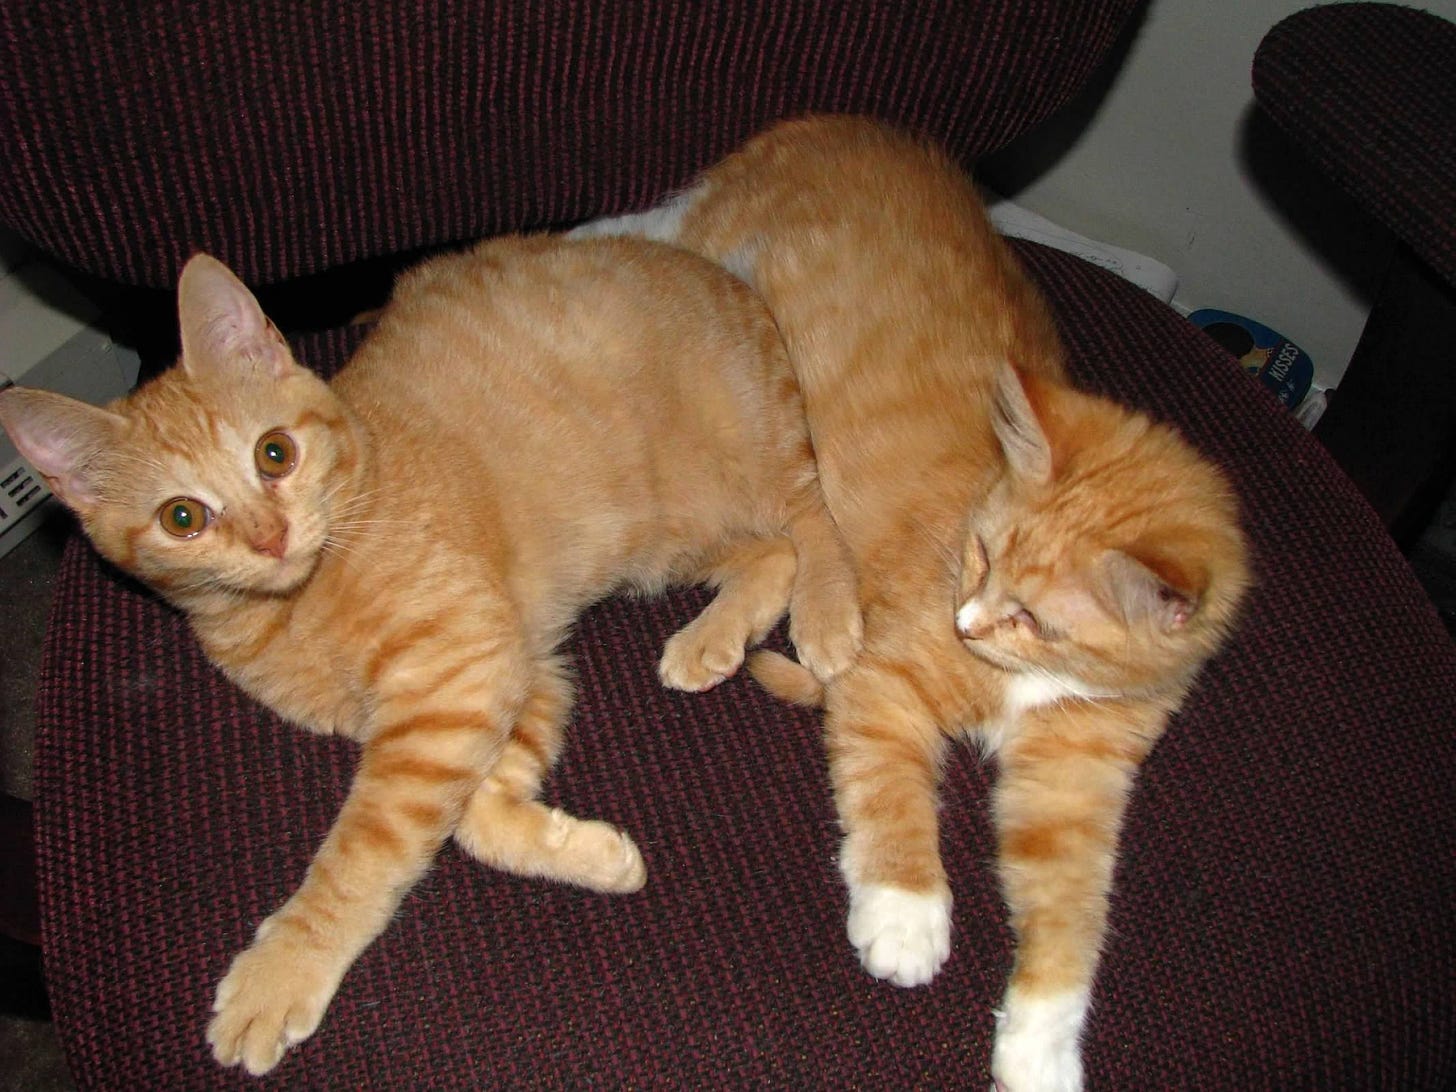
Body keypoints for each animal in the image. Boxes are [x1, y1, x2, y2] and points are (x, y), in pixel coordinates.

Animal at [0, 237, 856, 1077]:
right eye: (182, 518)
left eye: (274, 454)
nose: (270, 537)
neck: (293, 608)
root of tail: (720, 275)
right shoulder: (513, 674)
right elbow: (476, 815)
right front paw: (580, 850)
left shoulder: (461, 669)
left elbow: (366, 849)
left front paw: (283, 969)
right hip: (664, 539)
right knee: (770, 551)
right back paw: (713, 637)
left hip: (744, 461)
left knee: (811, 516)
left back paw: (828, 611)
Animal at [573, 115, 1246, 1089]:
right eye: (981, 554)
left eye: (1035, 617)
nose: (966, 623)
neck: (1030, 681)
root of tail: (838, 123)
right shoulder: (883, 682)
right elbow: (891, 803)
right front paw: (905, 918)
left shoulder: (1076, 786)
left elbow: (1074, 922)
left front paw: (1041, 1048)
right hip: (710, 263)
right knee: (642, 231)